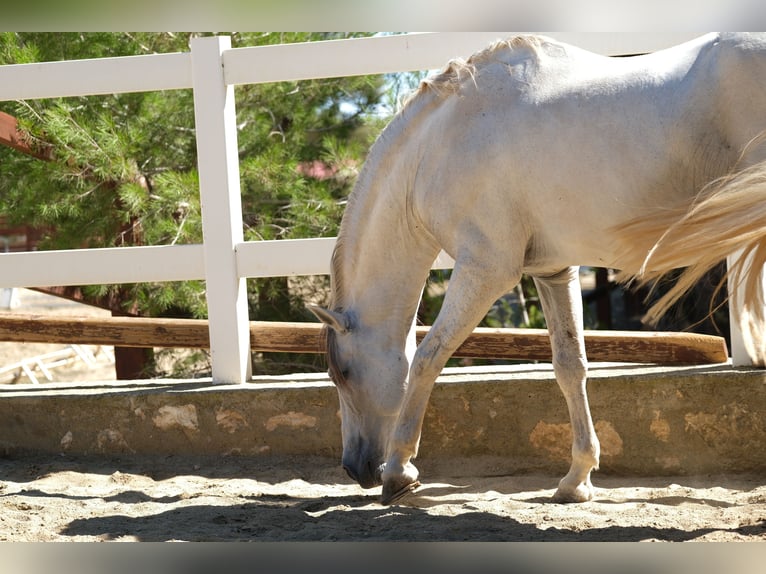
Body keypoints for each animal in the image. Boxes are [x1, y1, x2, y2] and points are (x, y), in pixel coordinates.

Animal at [316, 33, 766, 506]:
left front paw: (400, 471)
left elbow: (427, 356)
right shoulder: (554, 272)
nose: (355, 468)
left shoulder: (486, 270)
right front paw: (577, 479)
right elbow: (570, 367)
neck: (439, 147)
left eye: (342, 372)